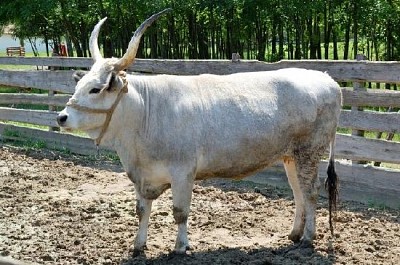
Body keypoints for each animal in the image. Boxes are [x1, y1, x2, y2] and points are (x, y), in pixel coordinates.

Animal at [57, 9, 342, 254]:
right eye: (79, 86)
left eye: (95, 89)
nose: (61, 117)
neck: (145, 114)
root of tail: (327, 79)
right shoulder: (142, 175)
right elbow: (142, 210)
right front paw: (138, 245)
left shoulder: (183, 171)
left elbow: (180, 211)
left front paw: (180, 246)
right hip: (290, 156)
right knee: (298, 192)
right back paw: (294, 234)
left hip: (309, 152)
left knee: (311, 191)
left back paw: (308, 237)